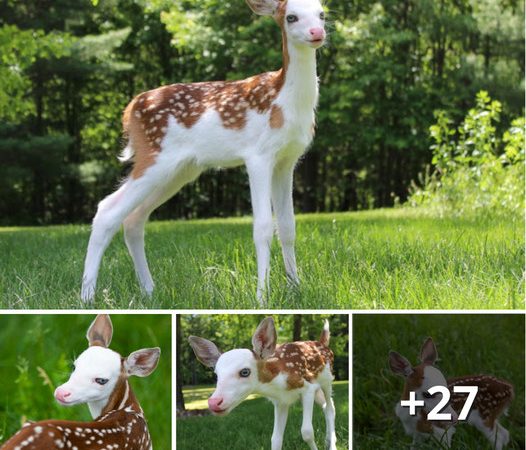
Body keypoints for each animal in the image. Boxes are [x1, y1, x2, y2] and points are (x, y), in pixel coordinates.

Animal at [80, 0, 328, 304]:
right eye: (291, 17)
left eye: (321, 13)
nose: (317, 32)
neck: (286, 101)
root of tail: (130, 110)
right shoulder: (258, 155)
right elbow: (262, 227)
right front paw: (261, 297)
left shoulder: (287, 160)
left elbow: (288, 227)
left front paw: (296, 288)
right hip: (155, 157)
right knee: (107, 211)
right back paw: (87, 297)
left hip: (179, 170)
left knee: (133, 219)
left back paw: (149, 291)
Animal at [190, 316, 338, 450]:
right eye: (216, 374)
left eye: (245, 372)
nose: (214, 402)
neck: (276, 383)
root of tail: (323, 343)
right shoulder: (281, 401)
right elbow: (276, 439)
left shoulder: (308, 387)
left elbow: (307, 432)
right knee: (326, 405)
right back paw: (328, 440)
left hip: (327, 379)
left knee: (330, 408)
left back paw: (332, 445)